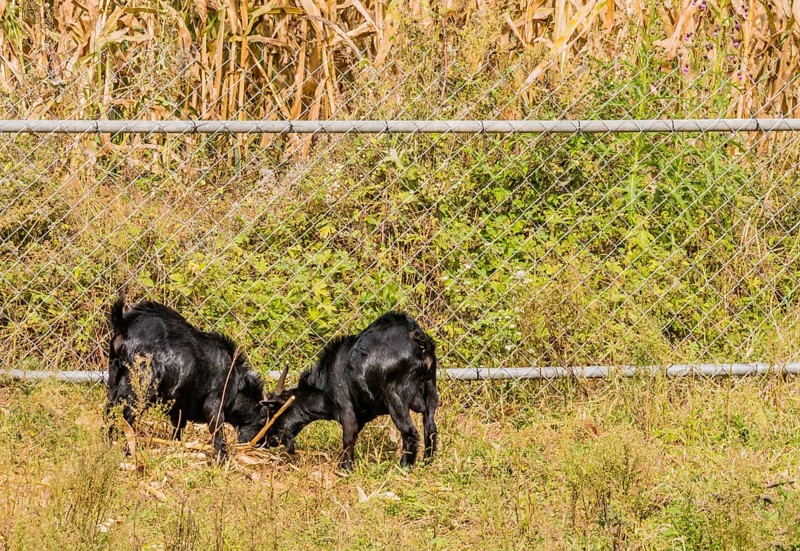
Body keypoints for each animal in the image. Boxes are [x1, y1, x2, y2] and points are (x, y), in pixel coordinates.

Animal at [261, 312, 438, 469]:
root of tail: (415, 339)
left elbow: (348, 438)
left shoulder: (346, 408)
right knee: (430, 428)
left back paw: (404, 467)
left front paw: (345, 468)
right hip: (431, 388)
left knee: (409, 432)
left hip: (395, 397)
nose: (268, 440)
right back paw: (427, 463)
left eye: (274, 412)